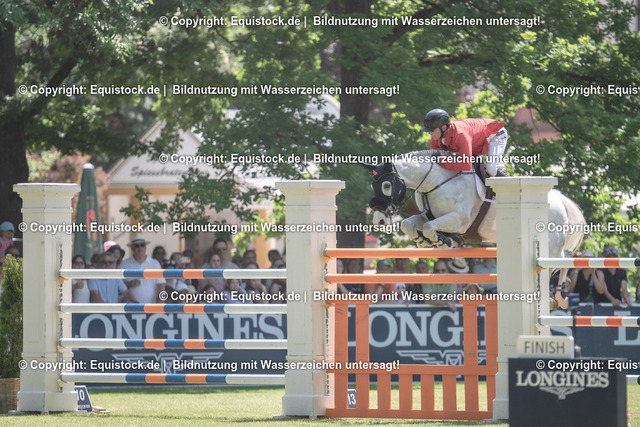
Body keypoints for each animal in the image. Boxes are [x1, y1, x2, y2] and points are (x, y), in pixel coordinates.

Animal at [364, 150, 586, 309]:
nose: (379, 220)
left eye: (386, 185)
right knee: (563, 259)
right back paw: (559, 295)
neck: (435, 182)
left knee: (562, 260)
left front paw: (441, 240)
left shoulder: (459, 220)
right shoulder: (429, 215)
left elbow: (428, 227)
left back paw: (558, 295)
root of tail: (559, 199)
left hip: (551, 243)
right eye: (372, 186)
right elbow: (409, 224)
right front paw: (425, 240)